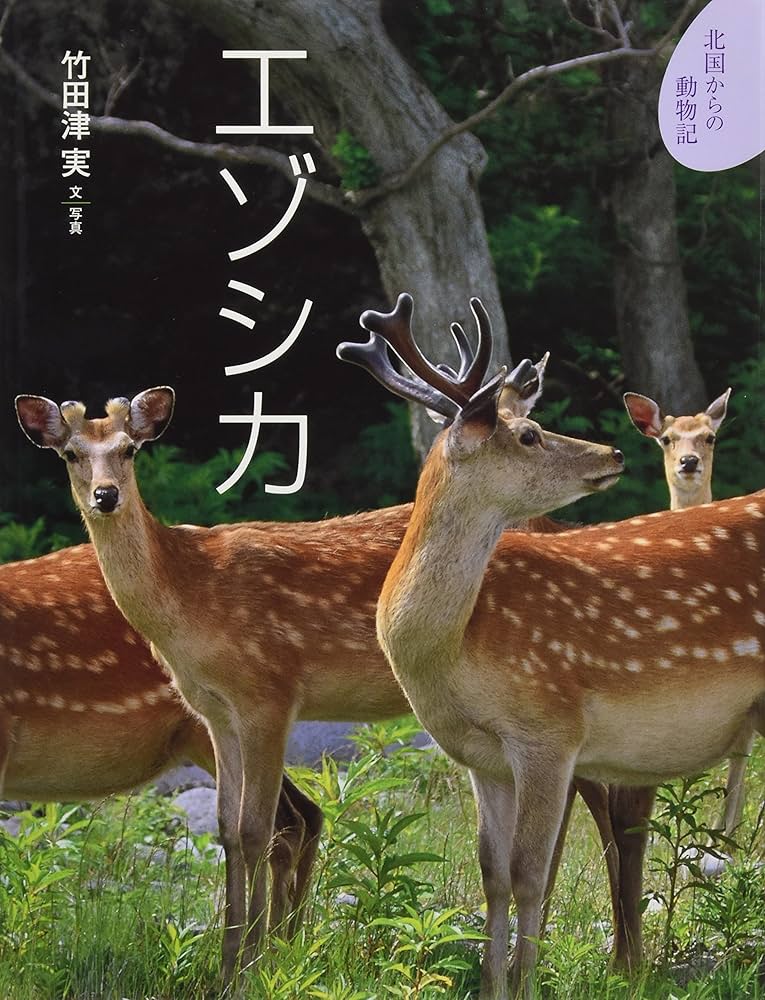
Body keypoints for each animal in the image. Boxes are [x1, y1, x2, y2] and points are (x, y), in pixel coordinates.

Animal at [337, 293, 765, 999]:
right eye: (529, 434)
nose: (613, 452)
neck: (450, 652)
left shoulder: (550, 729)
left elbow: (532, 872)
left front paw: (525, 984)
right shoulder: (480, 758)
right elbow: (493, 873)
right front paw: (491, 984)